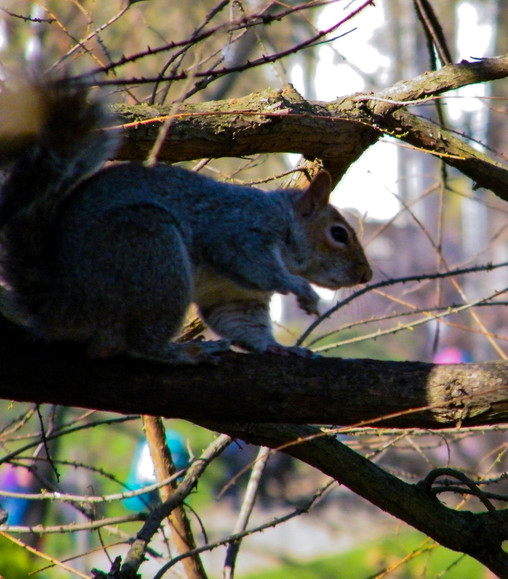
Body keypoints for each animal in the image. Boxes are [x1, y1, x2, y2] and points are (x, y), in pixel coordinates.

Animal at [0, 79, 374, 364]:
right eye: (338, 234)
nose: (366, 276)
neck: (283, 222)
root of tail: (65, 303)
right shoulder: (238, 232)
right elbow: (254, 262)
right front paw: (301, 290)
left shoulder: (234, 295)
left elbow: (244, 325)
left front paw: (278, 347)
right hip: (153, 253)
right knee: (140, 344)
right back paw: (182, 352)